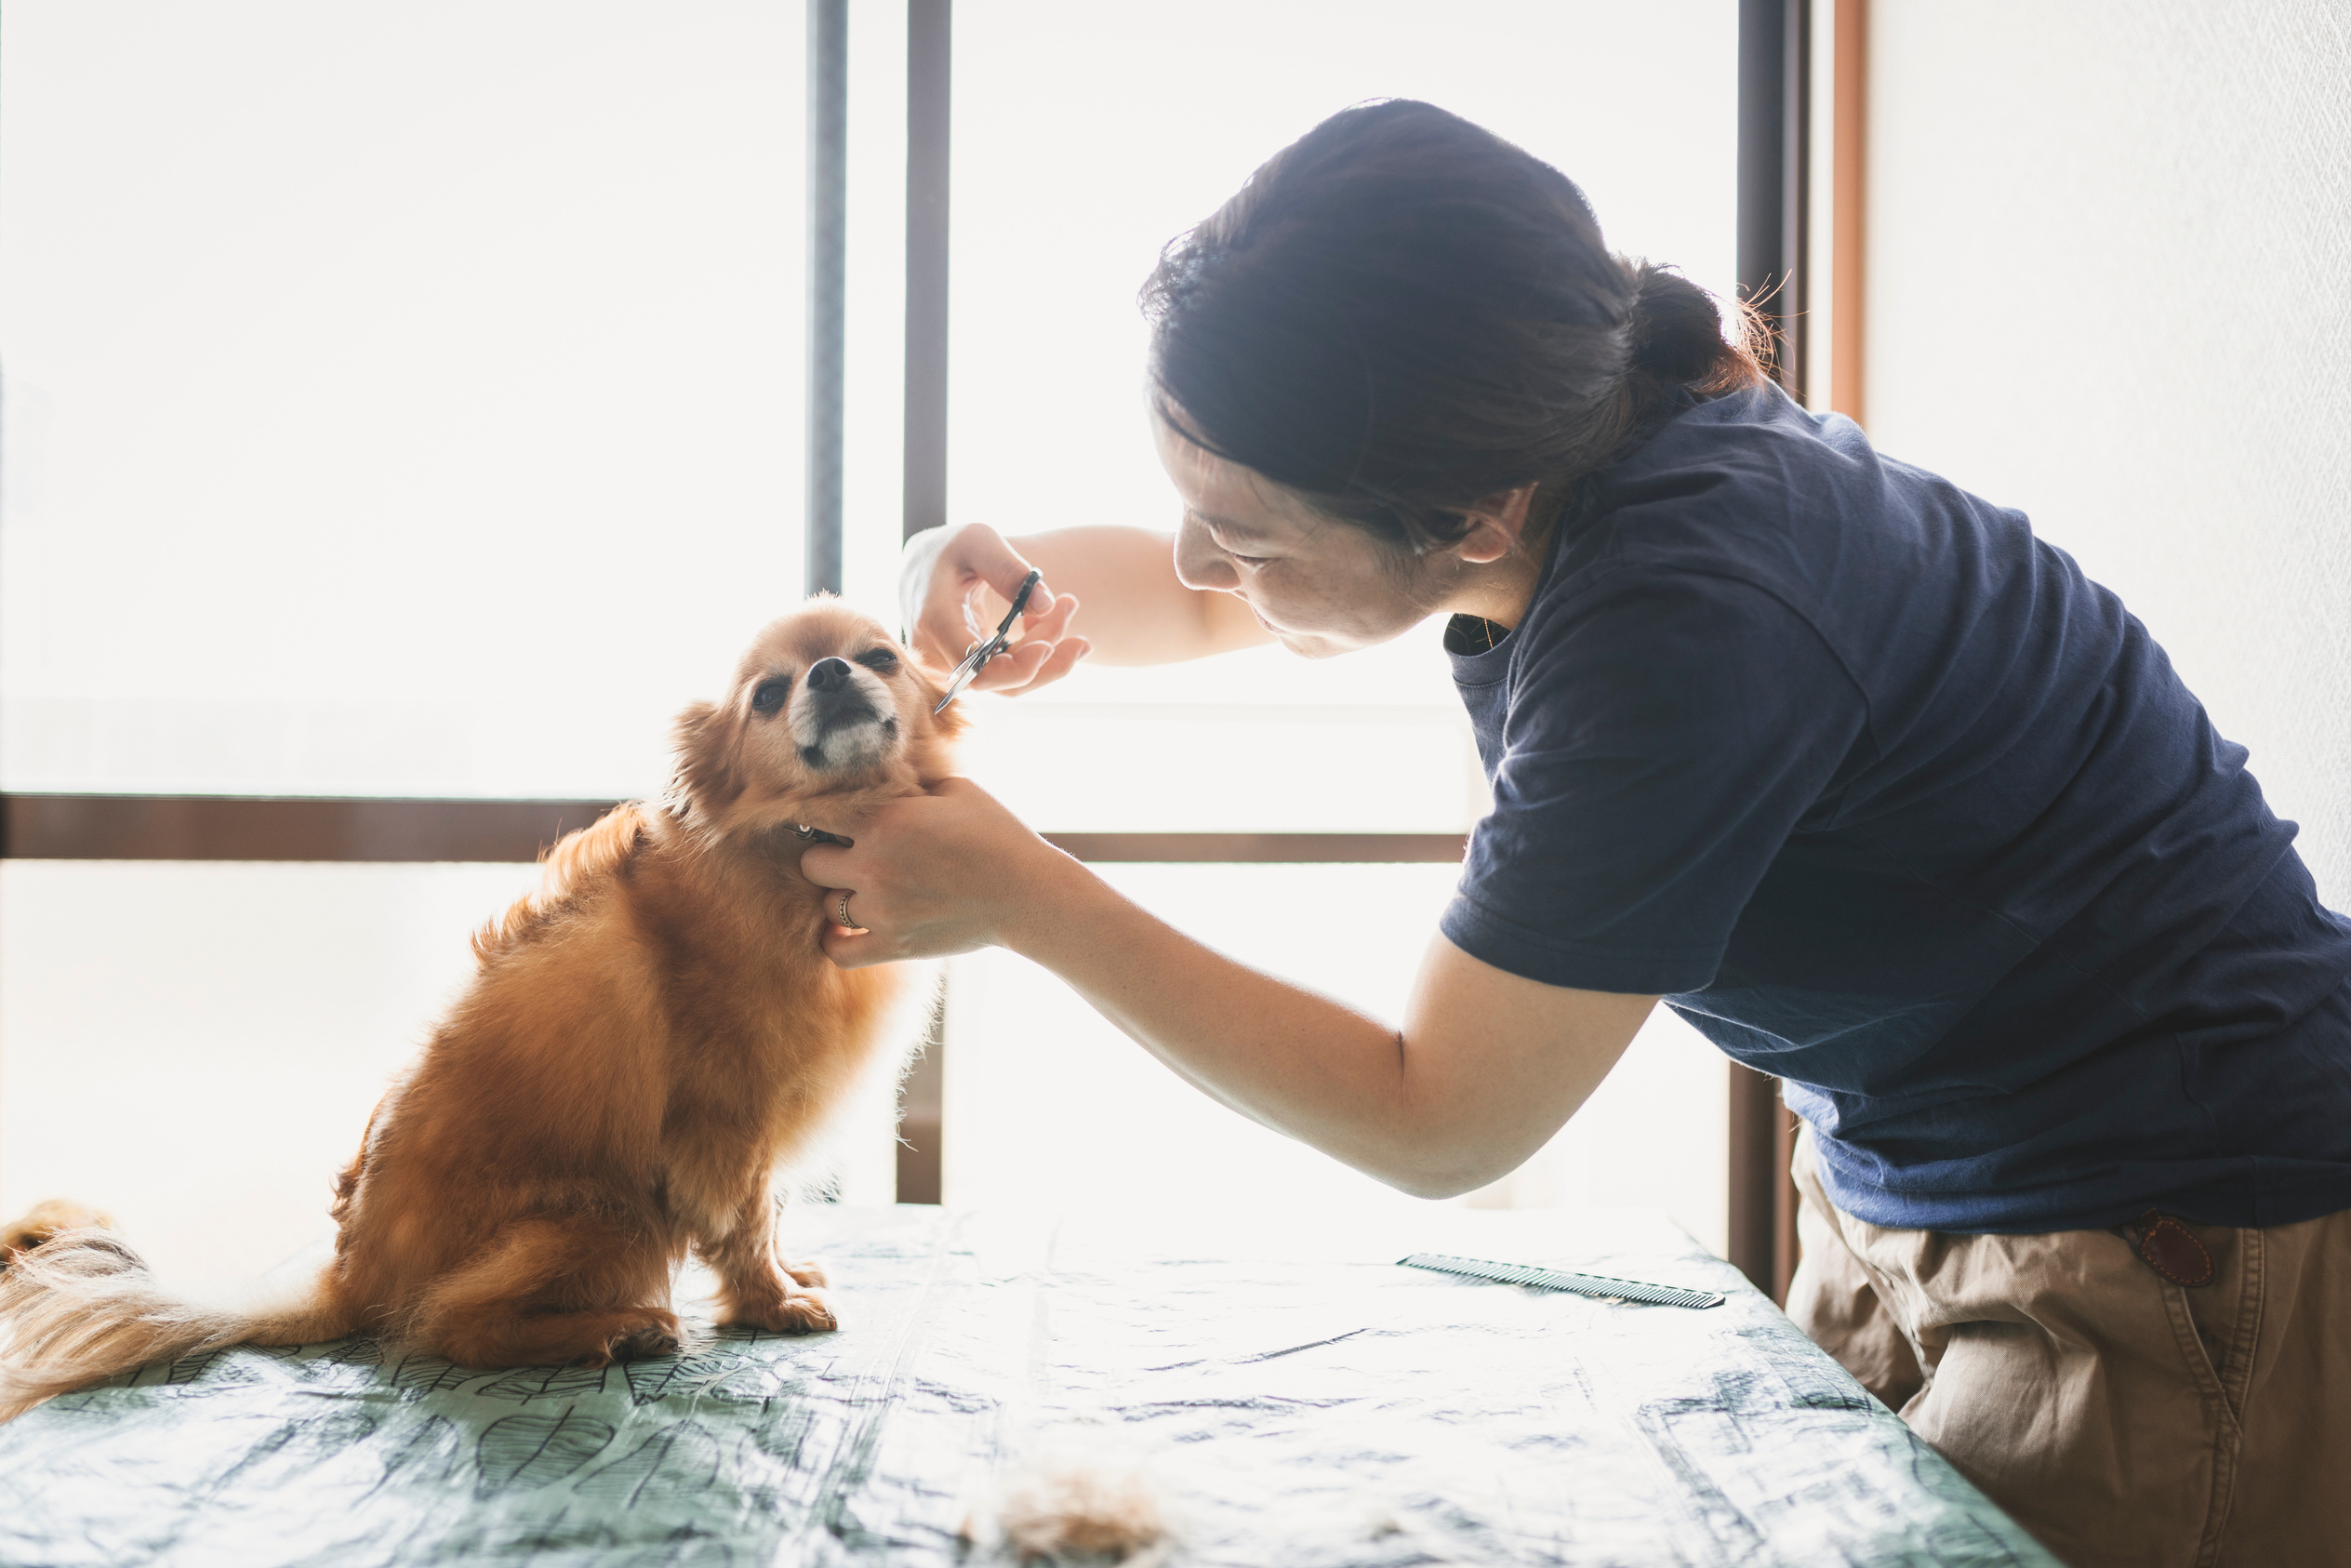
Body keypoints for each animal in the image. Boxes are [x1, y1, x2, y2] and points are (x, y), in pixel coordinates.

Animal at [0, 602, 959, 1419]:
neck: (787, 849)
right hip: (614, 1212)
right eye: (767, 695)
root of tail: (353, 1277)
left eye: (881, 656)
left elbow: (772, 1220)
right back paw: (620, 1329)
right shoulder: (724, 1129)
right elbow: (747, 1224)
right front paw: (774, 1302)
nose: (830, 673)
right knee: (448, 1326)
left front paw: (791, 1273)